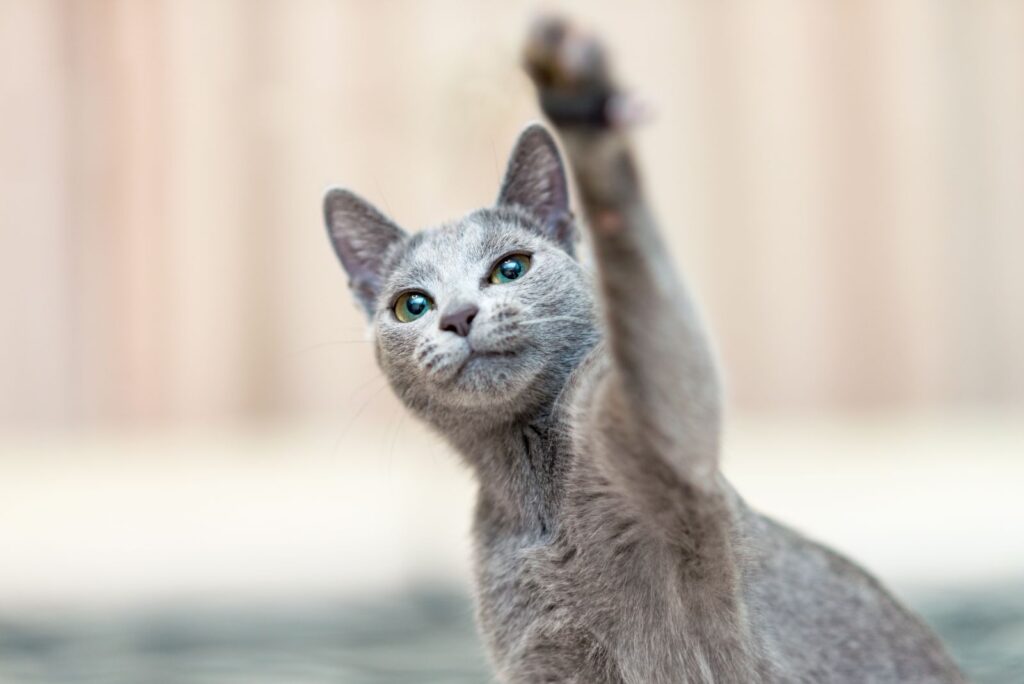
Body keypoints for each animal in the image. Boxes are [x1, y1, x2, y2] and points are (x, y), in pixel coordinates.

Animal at [321, 15, 966, 684]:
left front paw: (581, 102)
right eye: (412, 306)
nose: (456, 316)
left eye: (510, 268)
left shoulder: (672, 472)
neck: (534, 497)